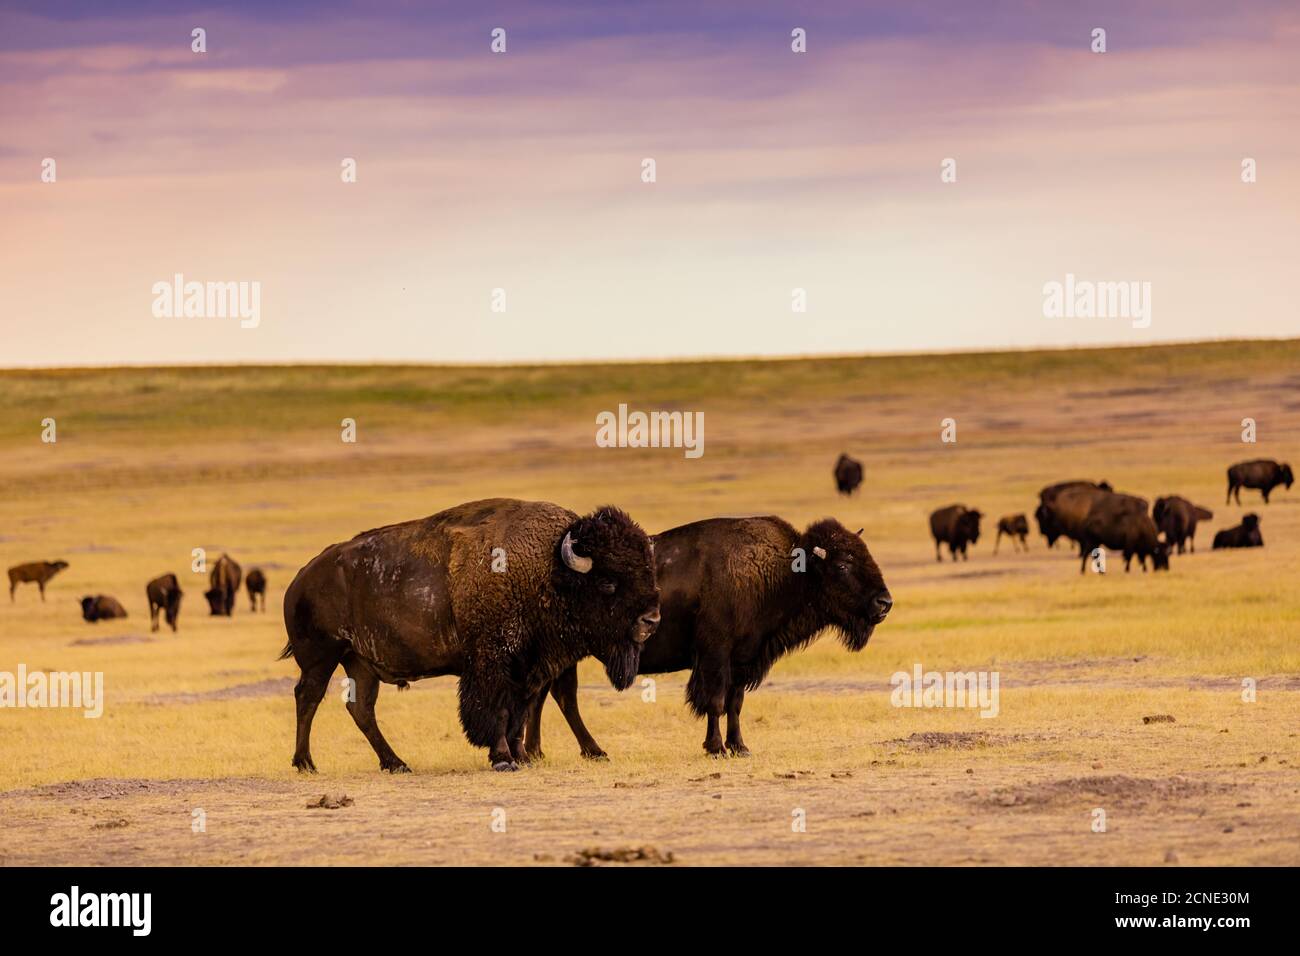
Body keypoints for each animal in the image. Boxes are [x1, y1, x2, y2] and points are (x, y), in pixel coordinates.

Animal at [278, 496, 655, 775]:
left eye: (648, 572)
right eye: (608, 582)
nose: (651, 619)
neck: (546, 568)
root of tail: (301, 579)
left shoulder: (528, 669)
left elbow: (520, 712)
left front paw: (520, 755)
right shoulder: (492, 662)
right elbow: (498, 711)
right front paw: (503, 759)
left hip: (360, 663)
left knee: (361, 709)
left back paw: (395, 763)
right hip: (322, 657)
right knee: (308, 698)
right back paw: (306, 763)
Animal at [522, 515, 889, 764]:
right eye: (842, 565)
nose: (884, 603)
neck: (785, 571)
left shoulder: (743, 658)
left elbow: (735, 703)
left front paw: (740, 747)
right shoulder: (715, 655)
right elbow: (715, 701)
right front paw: (716, 748)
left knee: (543, 694)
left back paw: (538, 751)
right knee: (562, 696)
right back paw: (593, 751)